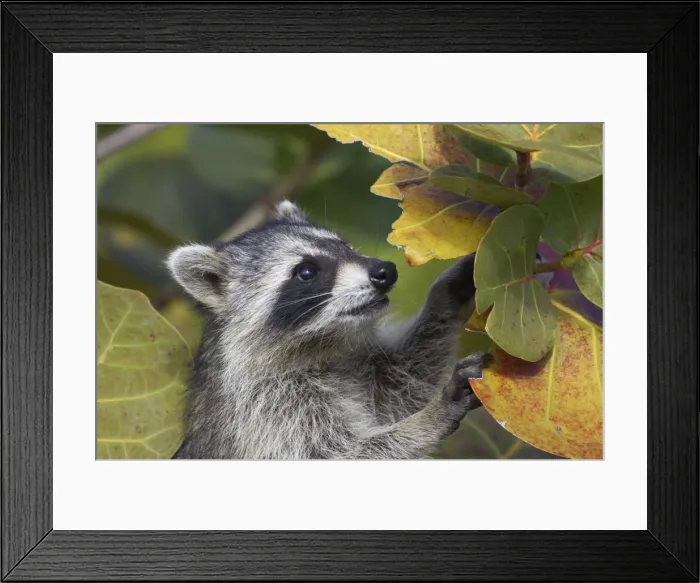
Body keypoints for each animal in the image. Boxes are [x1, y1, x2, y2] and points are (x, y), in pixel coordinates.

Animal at [167, 200, 492, 459]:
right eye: (306, 271)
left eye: (344, 247)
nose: (386, 271)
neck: (322, 346)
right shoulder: (264, 409)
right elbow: (337, 454)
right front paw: (428, 418)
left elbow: (401, 381)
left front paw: (446, 293)